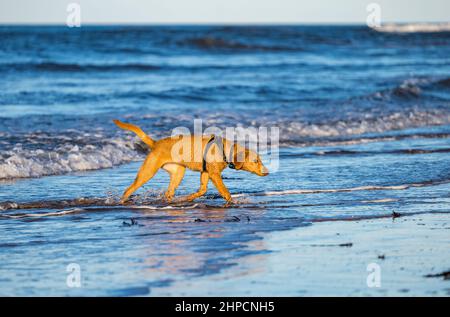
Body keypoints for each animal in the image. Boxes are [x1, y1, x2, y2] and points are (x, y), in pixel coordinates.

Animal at [113, 119, 268, 204]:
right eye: (256, 161)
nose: (267, 172)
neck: (225, 149)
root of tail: (156, 143)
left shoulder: (205, 172)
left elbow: (202, 190)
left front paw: (188, 198)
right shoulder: (214, 174)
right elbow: (225, 191)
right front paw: (233, 201)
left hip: (178, 172)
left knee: (168, 193)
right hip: (148, 172)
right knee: (128, 190)